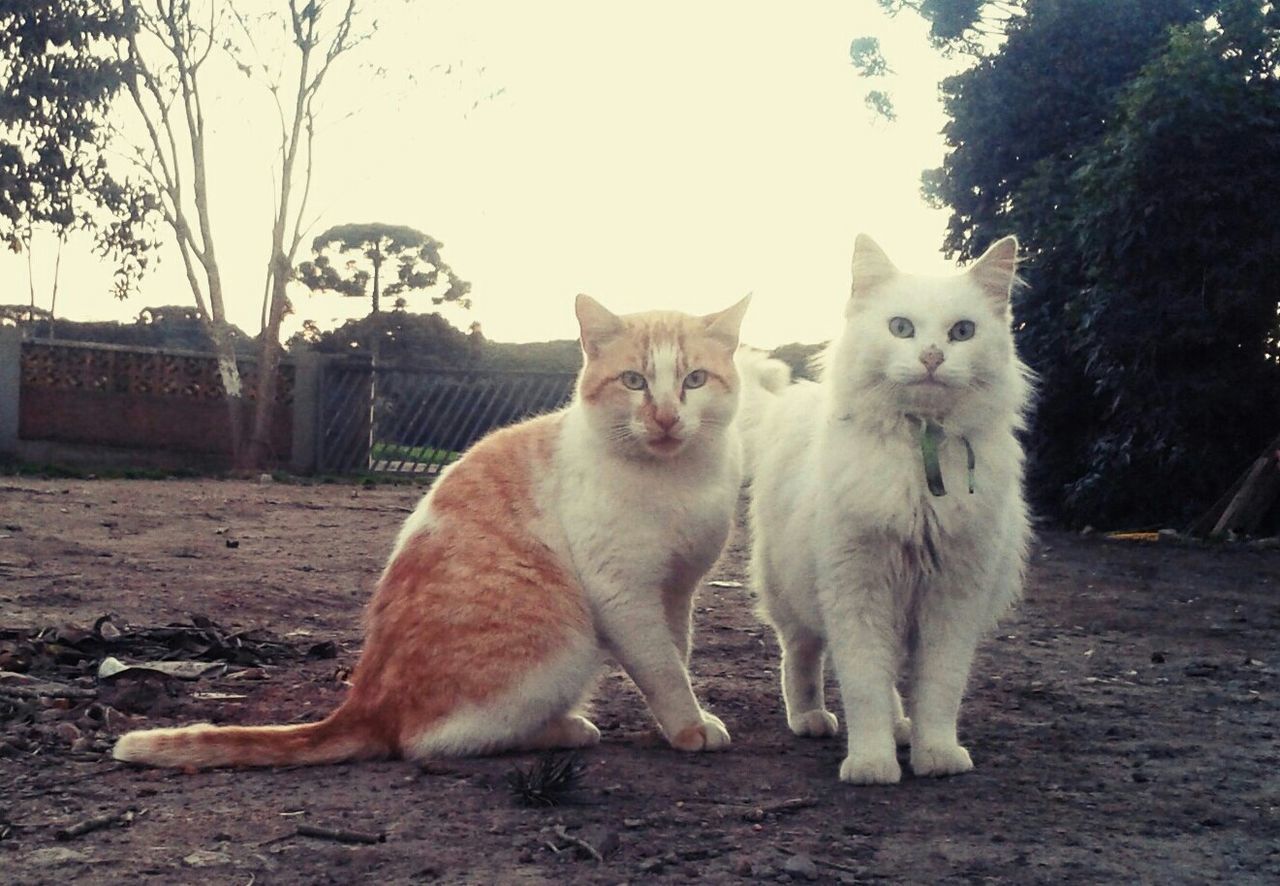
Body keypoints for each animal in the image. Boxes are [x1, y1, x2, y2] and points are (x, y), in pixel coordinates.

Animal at [112, 295, 747, 768]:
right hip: (562, 642)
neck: (675, 480)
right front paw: (687, 727)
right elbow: (659, 667)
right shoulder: (623, 594)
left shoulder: (676, 590)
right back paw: (564, 729)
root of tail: (364, 702)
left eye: (693, 380)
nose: (665, 417)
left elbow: (676, 653)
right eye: (634, 381)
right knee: (430, 742)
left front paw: (685, 718)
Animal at [742, 233, 1029, 783]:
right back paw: (810, 718)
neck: (921, 451)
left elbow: (937, 690)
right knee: (800, 658)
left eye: (963, 332)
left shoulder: (951, 598)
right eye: (901, 328)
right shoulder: (858, 590)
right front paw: (872, 764)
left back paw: (901, 730)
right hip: (792, 598)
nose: (933, 356)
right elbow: (864, 687)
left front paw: (935, 756)